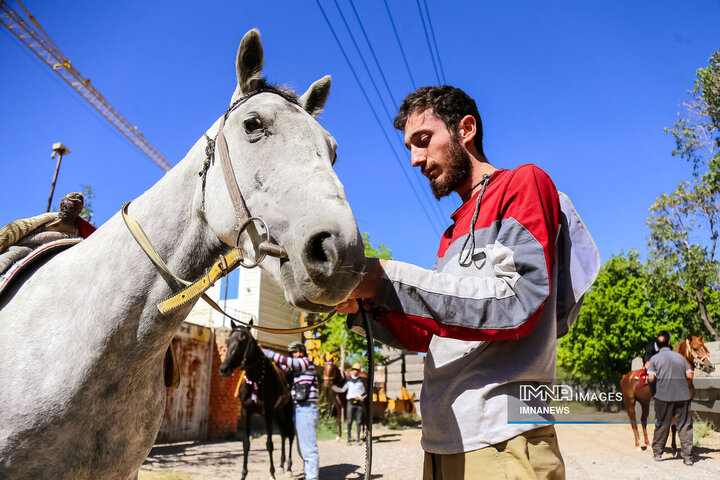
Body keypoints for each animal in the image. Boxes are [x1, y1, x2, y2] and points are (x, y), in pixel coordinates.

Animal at [218, 326, 294, 480]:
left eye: (242, 342)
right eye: (227, 342)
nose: (224, 369)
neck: (255, 378)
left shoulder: (268, 412)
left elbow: (269, 444)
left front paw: (272, 474)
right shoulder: (247, 412)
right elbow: (246, 444)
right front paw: (243, 474)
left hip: (287, 410)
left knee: (289, 434)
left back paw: (289, 467)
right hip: (278, 412)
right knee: (283, 433)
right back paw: (281, 465)